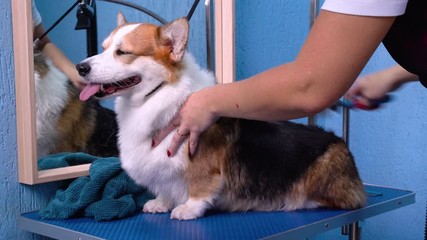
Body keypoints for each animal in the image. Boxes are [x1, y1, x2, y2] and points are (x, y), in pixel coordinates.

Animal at [76, 12, 368, 219]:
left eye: (122, 52)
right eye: (103, 47)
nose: (80, 67)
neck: (155, 95)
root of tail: (341, 144)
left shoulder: (201, 162)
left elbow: (200, 185)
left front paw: (188, 209)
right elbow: (165, 187)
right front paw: (161, 203)